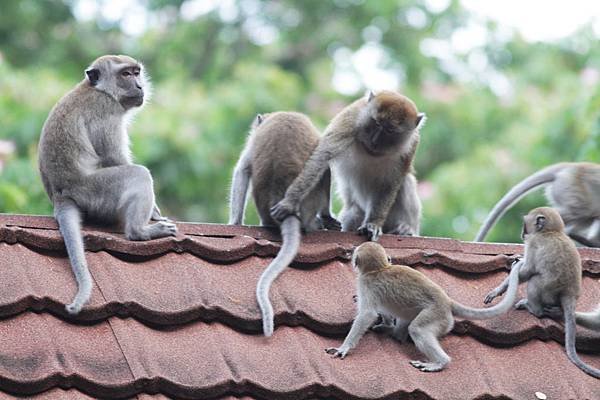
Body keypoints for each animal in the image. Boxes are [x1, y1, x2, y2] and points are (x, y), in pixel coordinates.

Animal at [38, 54, 176, 314]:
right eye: (125, 74)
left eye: (136, 73)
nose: (139, 86)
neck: (97, 89)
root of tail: (61, 194)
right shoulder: (106, 110)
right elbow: (114, 157)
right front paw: (154, 212)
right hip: (97, 192)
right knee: (138, 175)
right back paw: (139, 232)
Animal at [270, 90, 424, 241]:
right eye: (376, 123)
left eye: (390, 130)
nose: (375, 141)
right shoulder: (350, 119)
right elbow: (322, 156)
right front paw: (290, 202)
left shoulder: (412, 143)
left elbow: (390, 184)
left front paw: (373, 223)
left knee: (406, 182)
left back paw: (405, 229)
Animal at [326, 241, 524, 372]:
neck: (380, 269)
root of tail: (447, 301)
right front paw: (386, 323)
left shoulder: (366, 284)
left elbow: (367, 314)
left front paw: (343, 348)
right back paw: (394, 332)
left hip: (437, 315)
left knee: (418, 329)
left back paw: (440, 363)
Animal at [486, 208, 596, 380]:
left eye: (525, 224)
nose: (522, 233)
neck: (551, 231)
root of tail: (570, 294)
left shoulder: (533, 242)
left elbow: (526, 272)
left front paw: (498, 290)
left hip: (547, 291)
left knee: (534, 281)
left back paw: (533, 309)